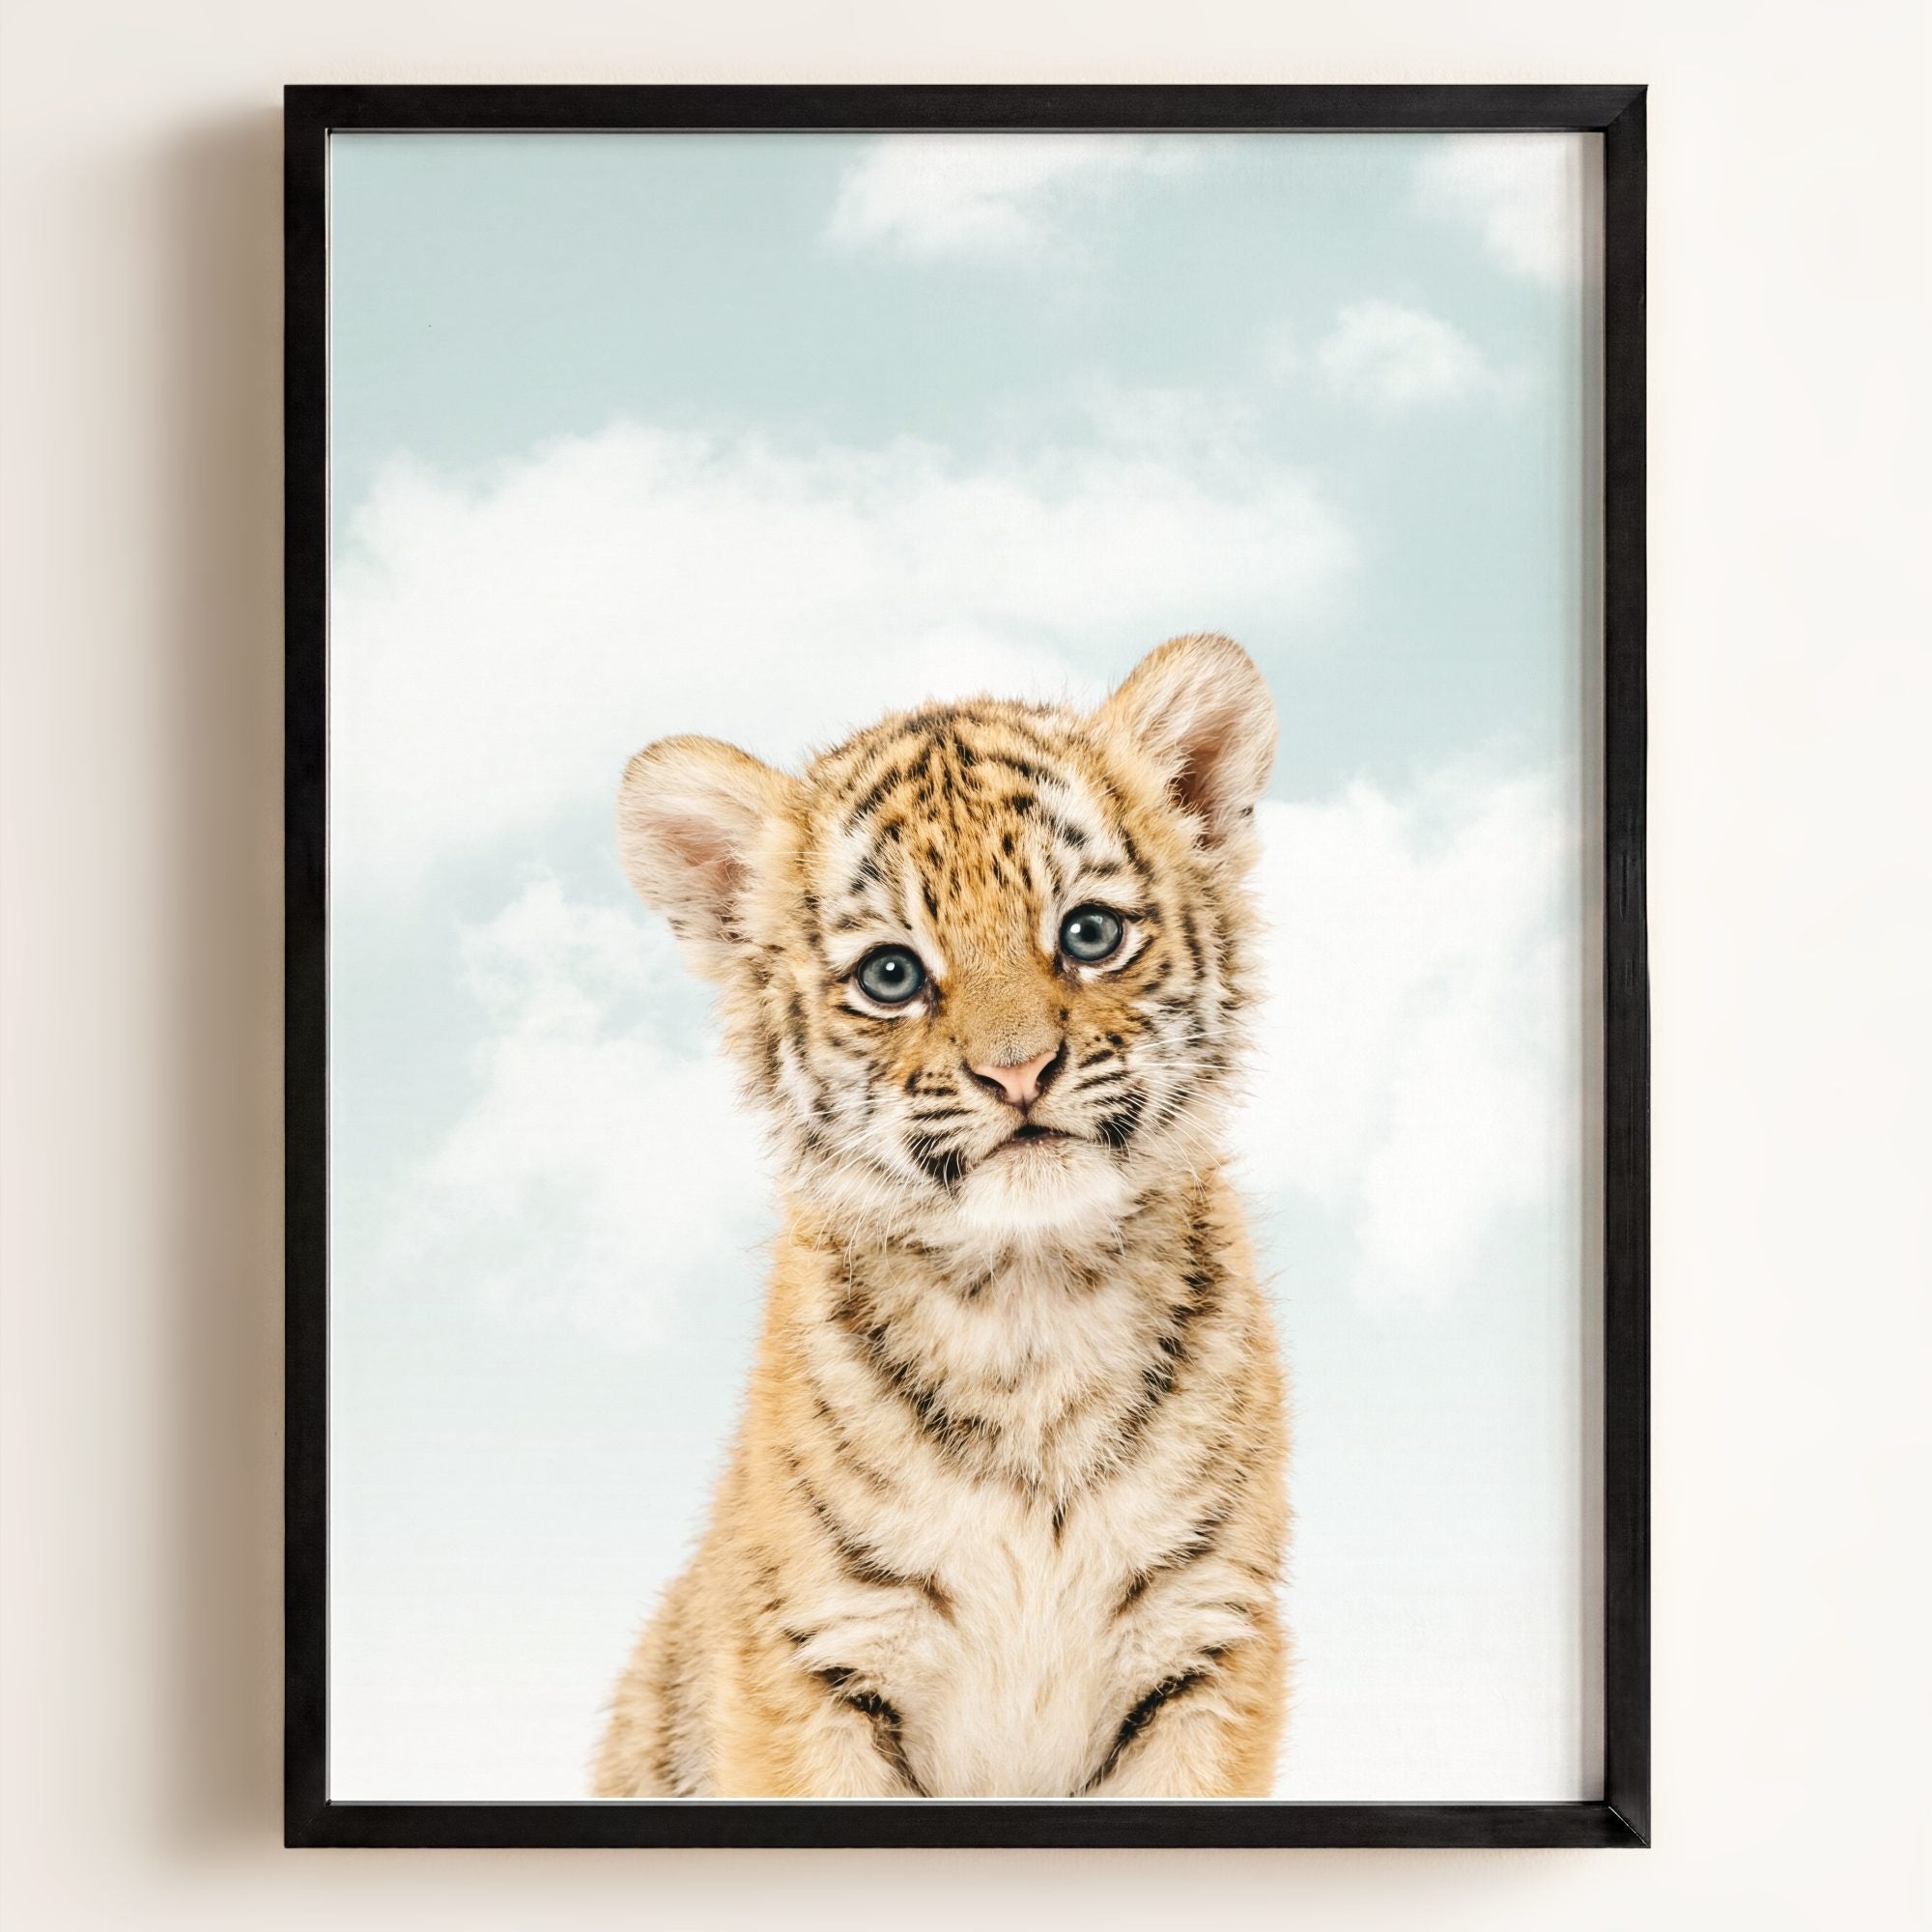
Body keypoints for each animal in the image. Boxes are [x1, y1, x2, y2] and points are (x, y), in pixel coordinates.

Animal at [592, 632, 1289, 1799]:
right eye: (891, 974)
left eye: (1088, 933)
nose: (1018, 1071)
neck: (1031, 1300)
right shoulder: (814, 1658)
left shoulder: (1206, 1644)